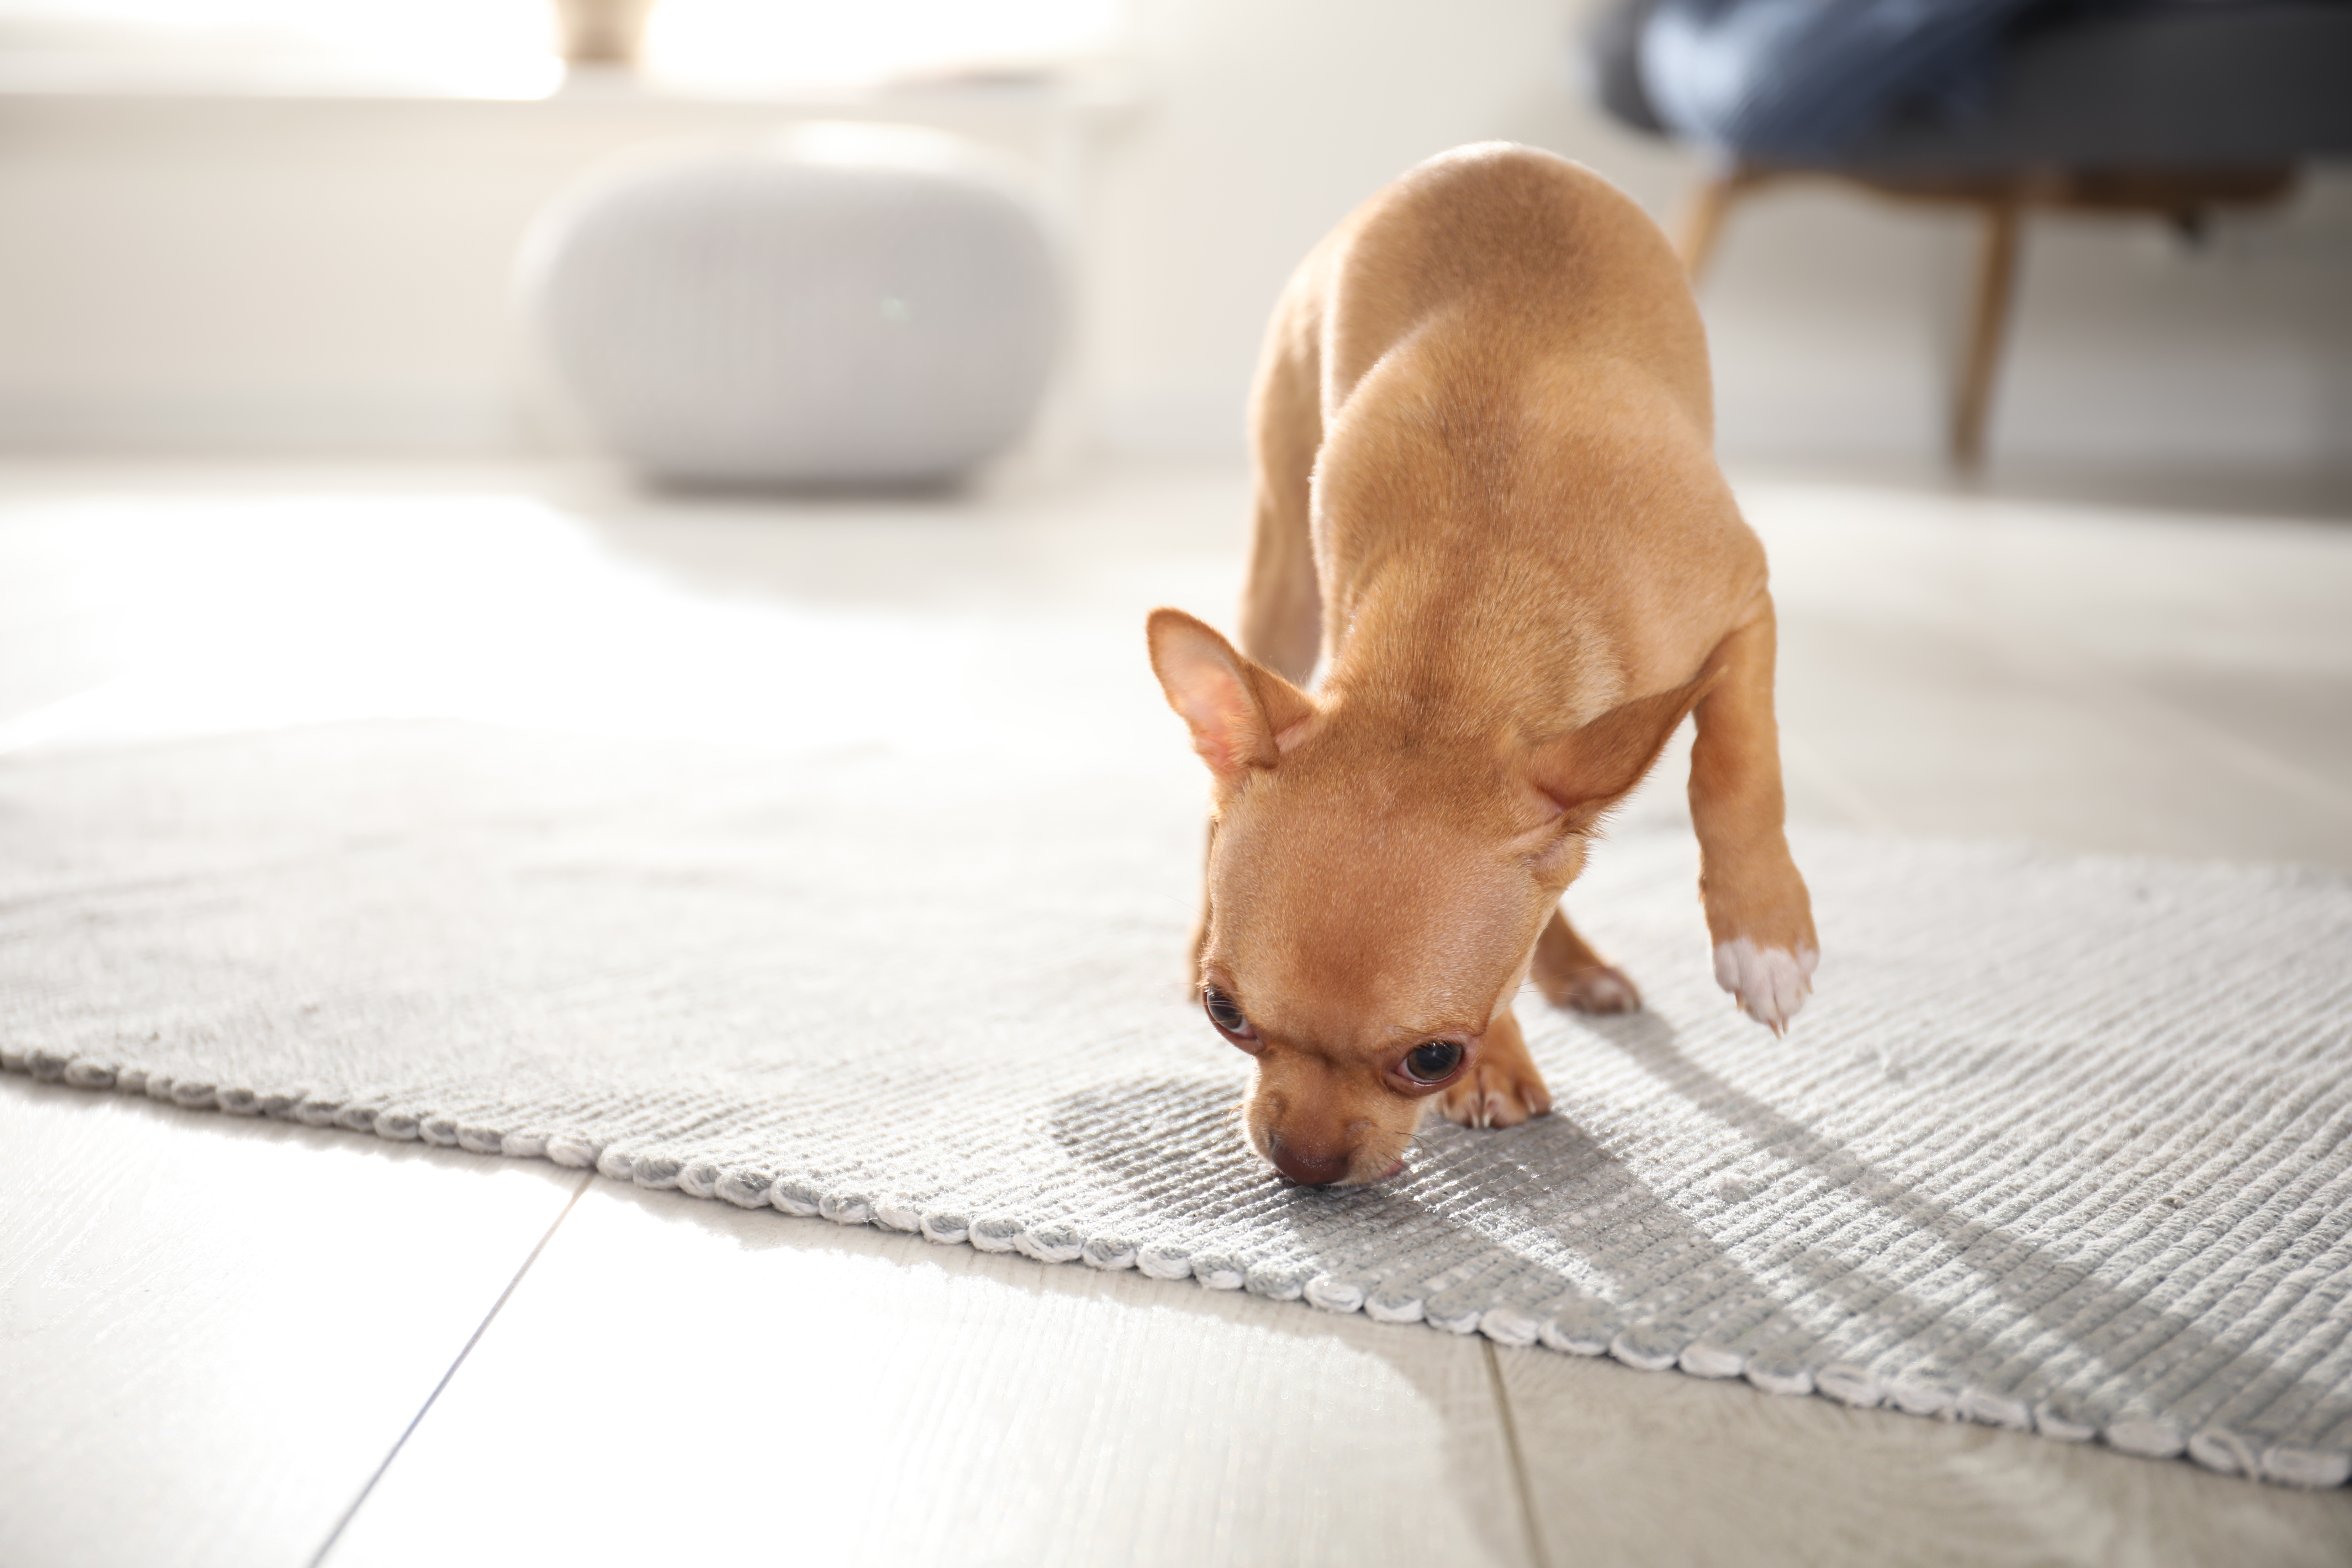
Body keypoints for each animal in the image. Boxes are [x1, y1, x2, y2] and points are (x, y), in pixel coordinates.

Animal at [1143, 147, 1815, 1189]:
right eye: (1228, 1014)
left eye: (1430, 1056)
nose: (1304, 1165)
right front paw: (1505, 1056)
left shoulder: (1744, 607)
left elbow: (1737, 764)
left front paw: (1763, 937)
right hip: (1280, 584)